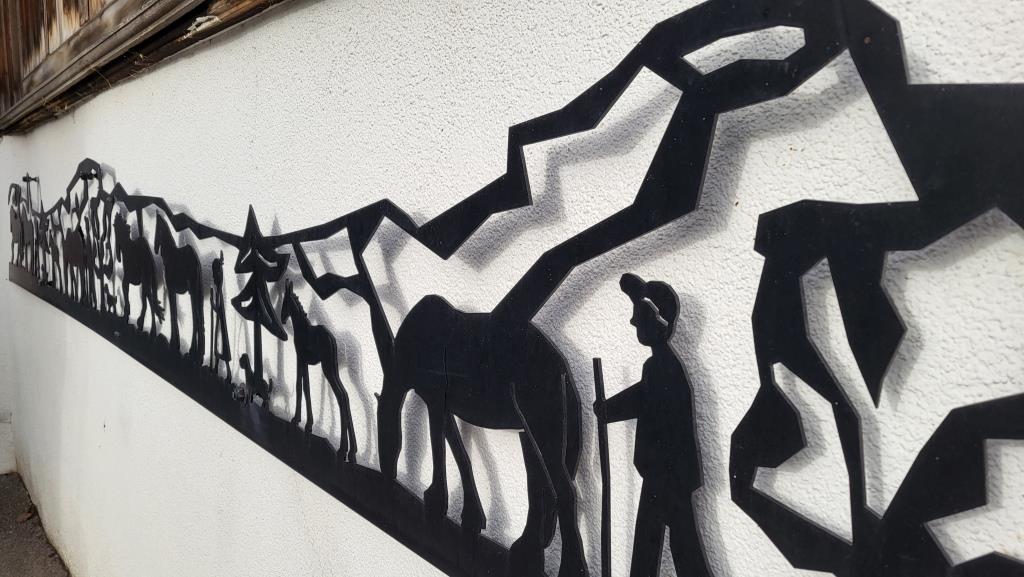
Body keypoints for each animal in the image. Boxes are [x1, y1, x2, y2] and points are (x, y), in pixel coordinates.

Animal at [155, 216, 205, 359]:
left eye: (157, 230)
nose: (155, 248)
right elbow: (174, 312)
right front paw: (175, 344)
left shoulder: (171, 289)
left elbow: (173, 313)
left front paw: (174, 344)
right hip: (196, 290)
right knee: (198, 318)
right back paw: (196, 352)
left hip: (192, 290)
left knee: (196, 318)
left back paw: (194, 352)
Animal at [281, 280, 357, 463]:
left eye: (285, 302)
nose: (281, 318)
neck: (301, 327)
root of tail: (332, 339)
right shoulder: (305, 361)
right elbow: (306, 386)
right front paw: (307, 423)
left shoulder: (300, 358)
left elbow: (301, 385)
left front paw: (297, 420)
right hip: (332, 367)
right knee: (345, 395)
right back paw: (351, 452)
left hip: (327, 367)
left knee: (340, 396)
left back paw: (343, 450)